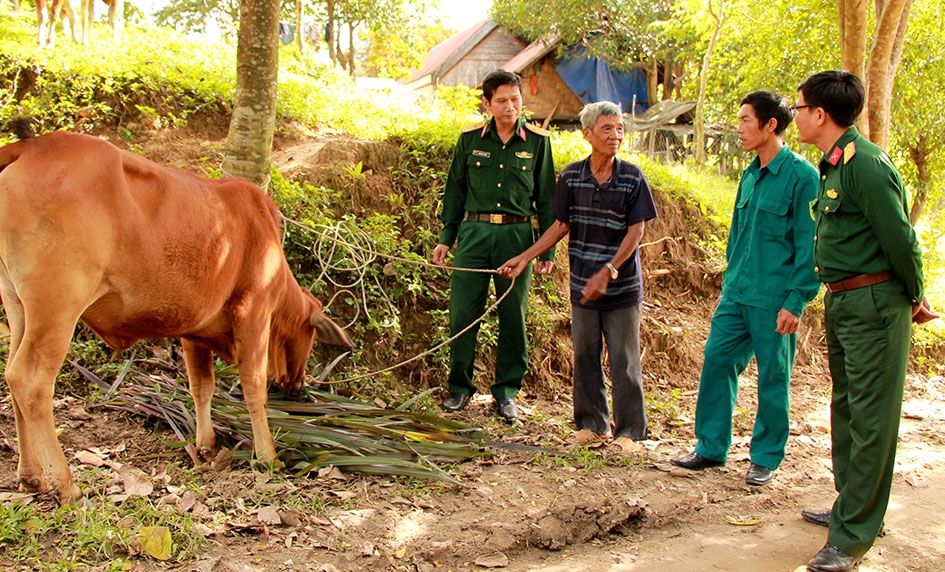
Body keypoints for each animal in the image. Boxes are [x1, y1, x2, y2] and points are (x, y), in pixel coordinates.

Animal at [0, 123, 352, 502]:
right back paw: (65, 485)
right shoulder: (253, 312)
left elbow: (201, 387)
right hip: (57, 305)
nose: (299, 384)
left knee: (10, 377)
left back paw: (31, 475)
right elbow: (253, 386)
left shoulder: (194, 331)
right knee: (30, 382)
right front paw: (268, 456)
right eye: (312, 338)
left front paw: (206, 446)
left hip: (18, 306)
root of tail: (28, 147)